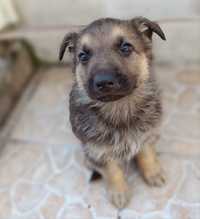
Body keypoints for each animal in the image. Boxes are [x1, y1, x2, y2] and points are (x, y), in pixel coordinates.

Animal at [58, 17, 166, 209]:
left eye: (126, 47)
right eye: (83, 56)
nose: (103, 82)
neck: (119, 107)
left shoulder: (146, 135)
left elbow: (147, 155)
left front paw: (153, 172)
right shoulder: (99, 151)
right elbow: (112, 171)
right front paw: (119, 192)